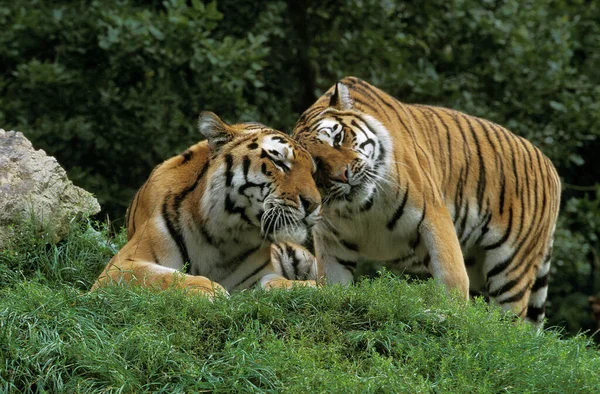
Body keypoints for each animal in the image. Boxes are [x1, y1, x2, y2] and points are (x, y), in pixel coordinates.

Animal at [91, 112, 322, 298]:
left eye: (312, 172)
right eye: (279, 163)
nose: (314, 205)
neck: (223, 237)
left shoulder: (259, 276)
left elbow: (278, 282)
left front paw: (312, 287)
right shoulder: (122, 265)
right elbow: (165, 277)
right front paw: (210, 289)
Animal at [292, 77, 560, 326]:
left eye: (337, 138)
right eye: (316, 166)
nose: (343, 175)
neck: (362, 208)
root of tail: (550, 166)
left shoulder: (433, 214)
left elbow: (451, 275)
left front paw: (451, 316)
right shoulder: (331, 241)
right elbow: (333, 284)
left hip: (511, 266)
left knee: (513, 326)